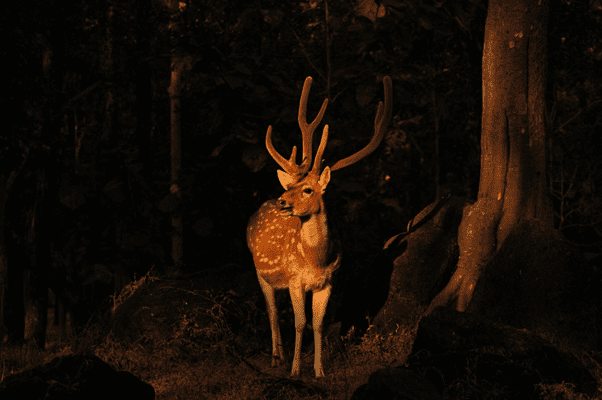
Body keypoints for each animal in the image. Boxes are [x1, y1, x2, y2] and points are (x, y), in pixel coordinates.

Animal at [246, 76, 392, 376]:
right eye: (291, 185)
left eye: (308, 190)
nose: (283, 201)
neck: (315, 259)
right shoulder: (294, 279)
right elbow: (300, 322)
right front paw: (295, 370)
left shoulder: (328, 281)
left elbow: (318, 323)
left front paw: (319, 370)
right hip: (260, 271)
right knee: (272, 312)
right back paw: (276, 358)